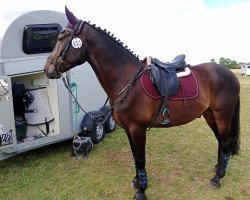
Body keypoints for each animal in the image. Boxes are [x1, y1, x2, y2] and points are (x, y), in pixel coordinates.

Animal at [44, 7, 240, 199]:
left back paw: (217, 178)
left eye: (61, 38)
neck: (126, 78)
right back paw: (217, 169)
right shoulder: (128, 129)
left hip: (222, 116)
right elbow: (134, 157)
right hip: (209, 115)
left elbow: (140, 159)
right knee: (220, 142)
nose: (48, 69)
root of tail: (230, 74)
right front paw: (137, 182)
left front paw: (141, 191)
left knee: (225, 144)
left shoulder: (137, 128)